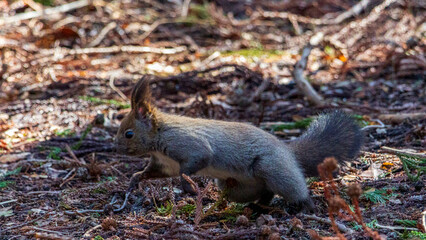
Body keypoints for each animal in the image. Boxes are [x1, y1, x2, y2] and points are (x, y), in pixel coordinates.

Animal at [115, 77, 362, 212]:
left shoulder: (189, 145)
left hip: (271, 167)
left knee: (290, 187)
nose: (115, 148)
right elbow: (149, 173)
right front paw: (133, 182)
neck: (159, 135)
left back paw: (305, 206)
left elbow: (194, 164)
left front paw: (188, 187)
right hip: (236, 186)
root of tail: (288, 151)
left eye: (129, 133)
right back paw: (257, 208)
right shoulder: (164, 164)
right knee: (266, 192)